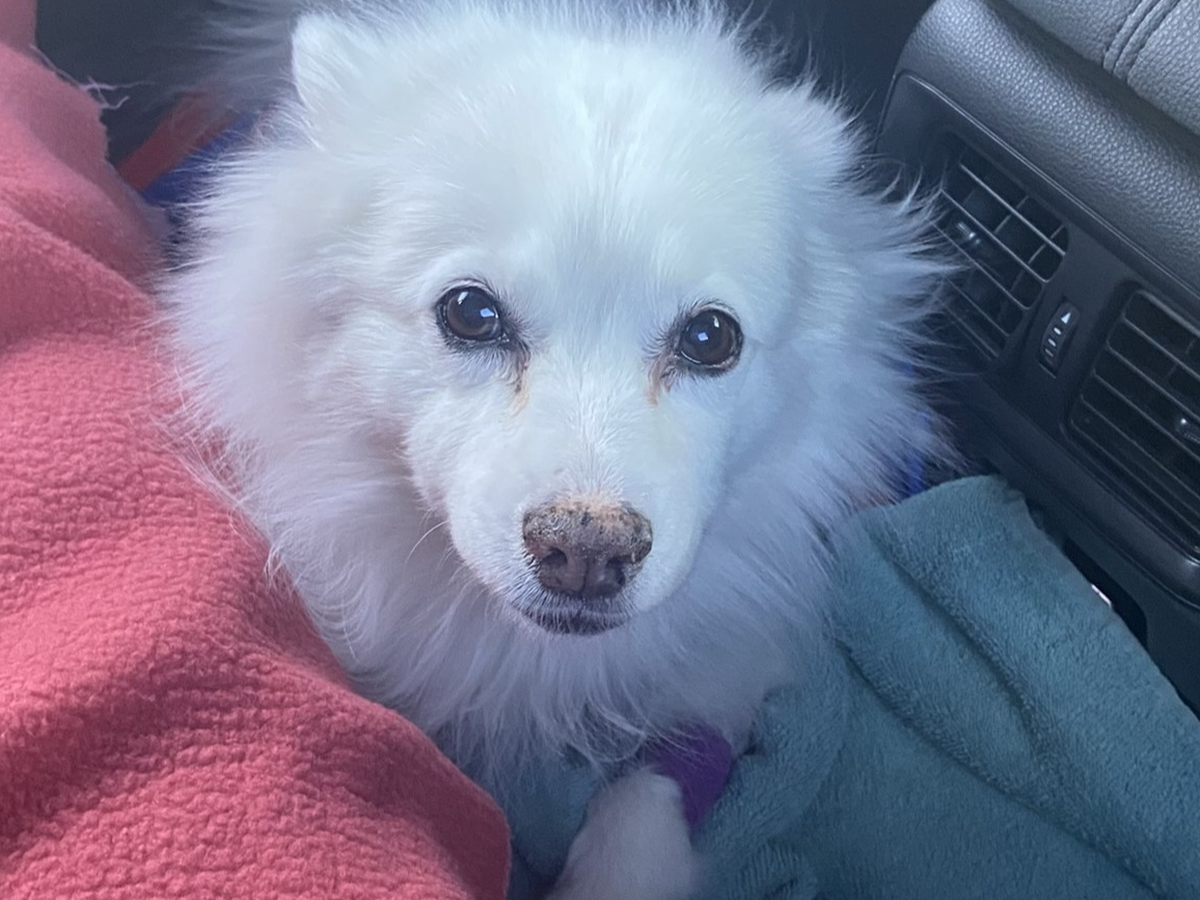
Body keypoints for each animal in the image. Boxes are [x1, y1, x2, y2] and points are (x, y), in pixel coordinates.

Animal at [161, 1, 943, 897]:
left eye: (711, 337)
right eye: (470, 312)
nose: (587, 551)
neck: (535, 664)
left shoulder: (727, 660)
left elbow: (655, 781)